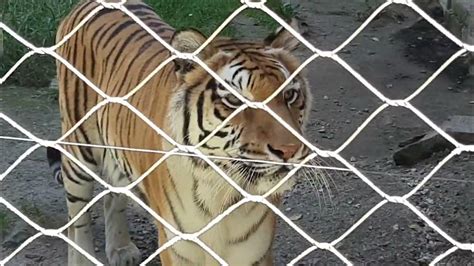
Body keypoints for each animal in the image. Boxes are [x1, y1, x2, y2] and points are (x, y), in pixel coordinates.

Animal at [48, 0, 312, 264]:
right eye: (234, 100)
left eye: (289, 95)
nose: (289, 150)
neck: (223, 192)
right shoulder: (177, 247)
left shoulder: (254, 251)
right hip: (78, 152)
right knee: (77, 220)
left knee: (114, 193)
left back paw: (121, 250)